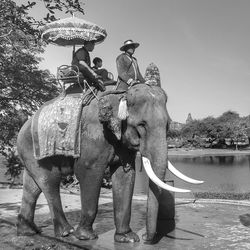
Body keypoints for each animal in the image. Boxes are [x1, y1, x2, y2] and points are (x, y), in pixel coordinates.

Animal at [16, 83, 203, 243]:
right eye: (141, 125)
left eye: (168, 126)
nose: (146, 239)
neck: (120, 94)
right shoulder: (93, 135)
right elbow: (87, 171)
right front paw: (86, 237)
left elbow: (125, 176)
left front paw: (127, 238)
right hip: (31, 147)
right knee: (50, 181)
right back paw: (66, 232)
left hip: (28, 153)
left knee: (33, 186)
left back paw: (28, 231)